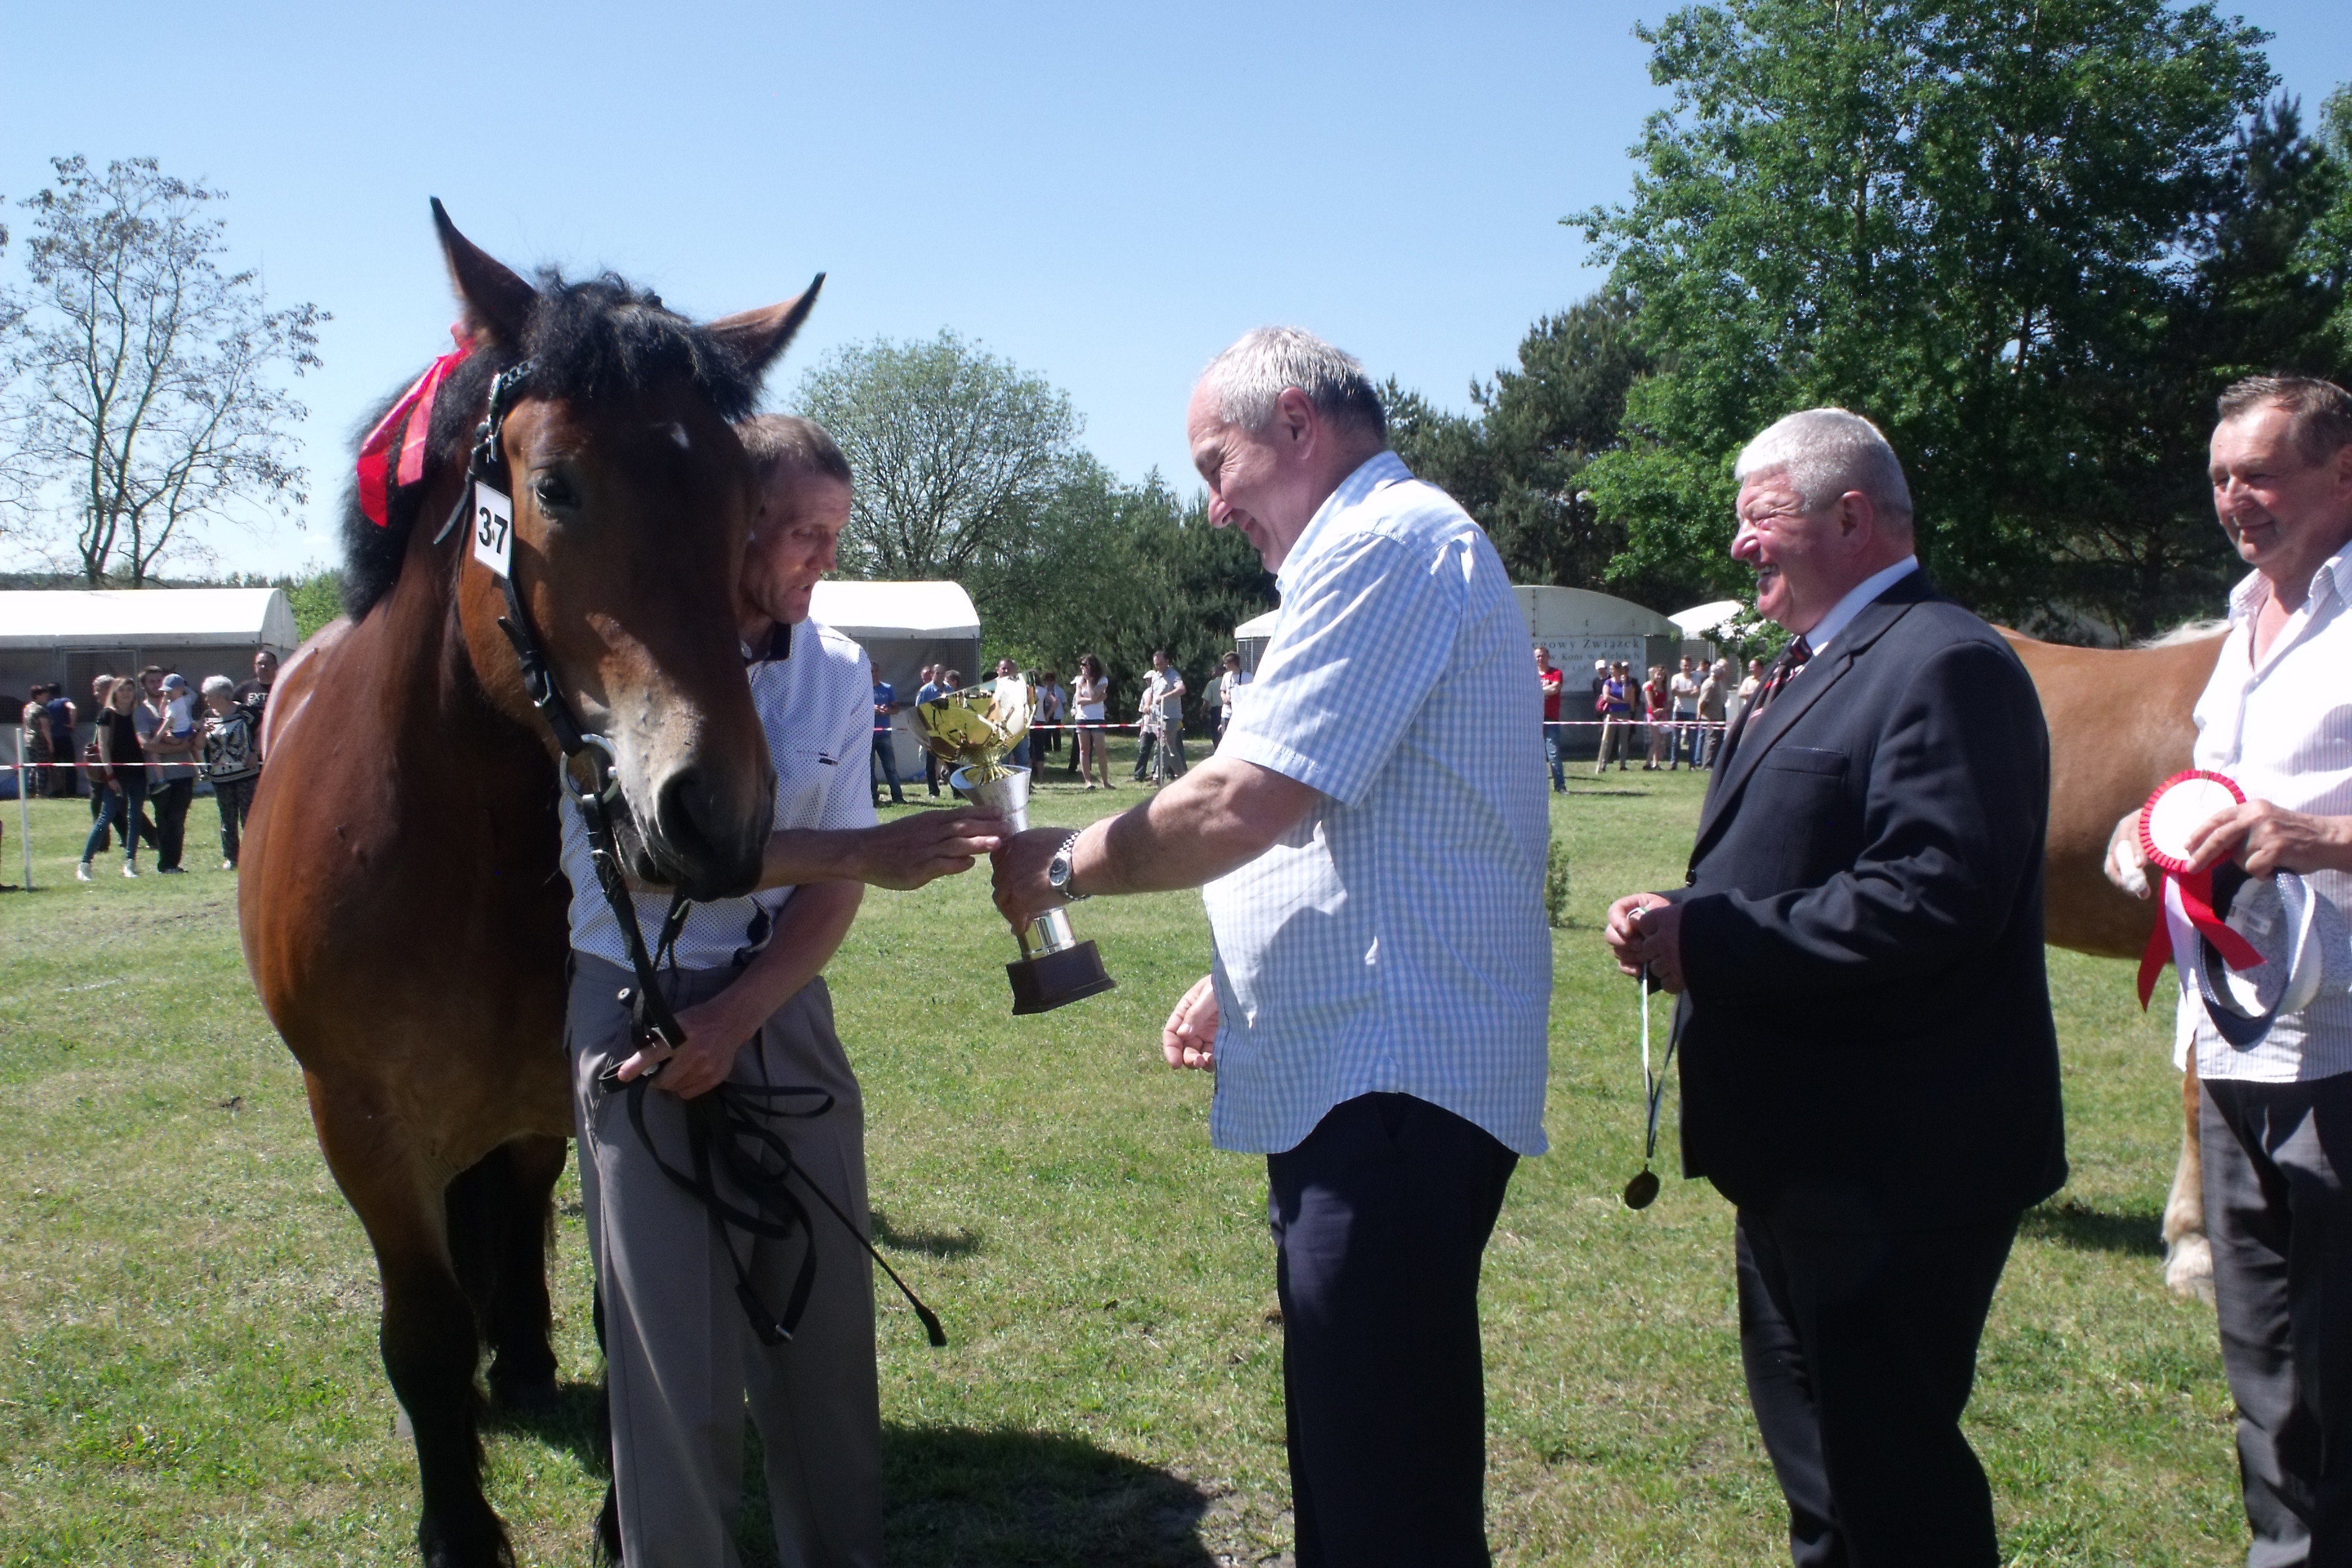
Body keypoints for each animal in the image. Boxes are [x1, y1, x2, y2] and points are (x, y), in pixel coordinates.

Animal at [241, 203, 819, 1566]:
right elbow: (421, 1334)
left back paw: (525, 1353)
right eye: (554, 486)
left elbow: (629, 1319)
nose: (717, 809)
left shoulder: (607, 1093)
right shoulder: (362, 1125)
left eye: (740, 500)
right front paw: (458, 1527)